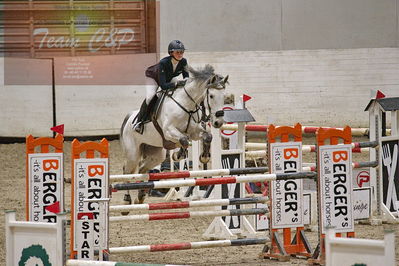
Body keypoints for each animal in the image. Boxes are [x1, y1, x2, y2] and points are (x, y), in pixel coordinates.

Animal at [119, 64, 228, 204]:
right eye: (212, 96)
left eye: (224, 96)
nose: (218, 122)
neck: (187, 104)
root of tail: (129, 118)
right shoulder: (168, 131)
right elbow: (184, 140)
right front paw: (178, 155)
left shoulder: (194, 131)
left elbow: (207, 136)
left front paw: (204, 157)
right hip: (133, 153)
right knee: (127, 172)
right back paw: (127, 200)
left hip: (156, 154)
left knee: (143, 169)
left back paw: (141, 195)